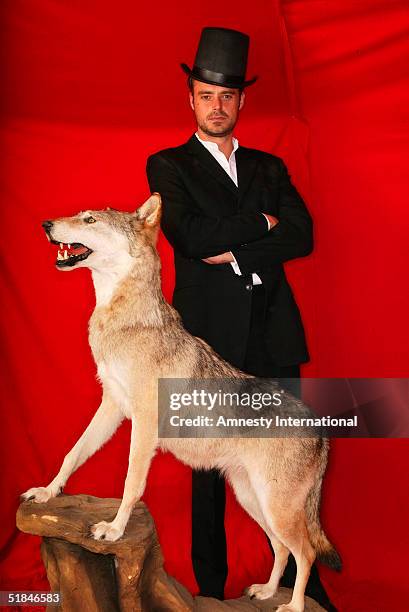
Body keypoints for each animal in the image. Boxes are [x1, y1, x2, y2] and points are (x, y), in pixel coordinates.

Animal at [23, 194, 342, 608]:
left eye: (90, 220)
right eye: (77, 215)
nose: (46, 224)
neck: (124, 320)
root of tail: (322, 431)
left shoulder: (142, 425)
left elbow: (131, 483)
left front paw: (114, 529)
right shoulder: (111, 406)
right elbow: (72, 453)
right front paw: (47, 492)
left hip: (277, 508)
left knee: (305, 552)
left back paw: (293, 605)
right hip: (254, 501)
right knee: (282, 548)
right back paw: (267, 591)